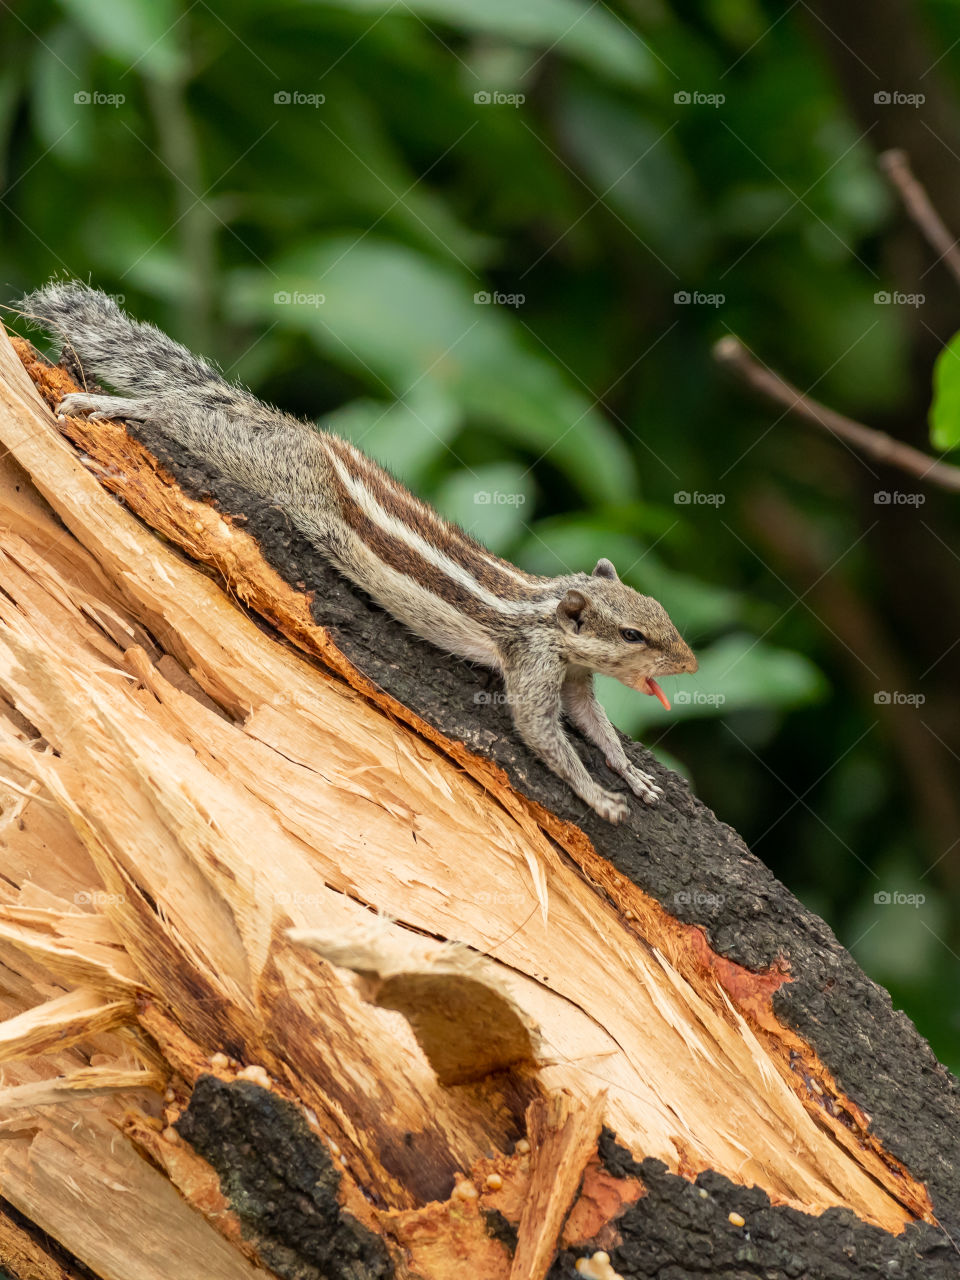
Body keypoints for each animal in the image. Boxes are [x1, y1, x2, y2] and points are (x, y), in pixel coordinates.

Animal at [18, 281, 701, 824]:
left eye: (663, 616)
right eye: (634, 635)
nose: (691, 664)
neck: (549, 610)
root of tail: (292, 429)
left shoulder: (577, 678)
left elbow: (593, 723)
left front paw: (632, 775)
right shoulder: (532, 663)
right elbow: (541, 732)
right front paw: (598, 796)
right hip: (256, 459)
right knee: (173, 410)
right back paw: (103, 402)